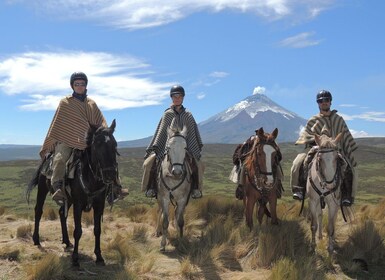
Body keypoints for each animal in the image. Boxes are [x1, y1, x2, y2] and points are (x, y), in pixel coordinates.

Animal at [26, 119, 118, 266]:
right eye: (97, 144)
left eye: (115, 144)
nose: (110, 174)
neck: (90, 177)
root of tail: (47, 156)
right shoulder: (78, 204)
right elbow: (78, 231)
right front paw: (75, 259)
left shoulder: (99, 204)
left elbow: (97, 230)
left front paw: (99, 256)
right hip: (43, 189)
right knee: (38, 211)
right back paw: (36, 239)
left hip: (68, 199)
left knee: (61, 213)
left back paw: (67, 241)